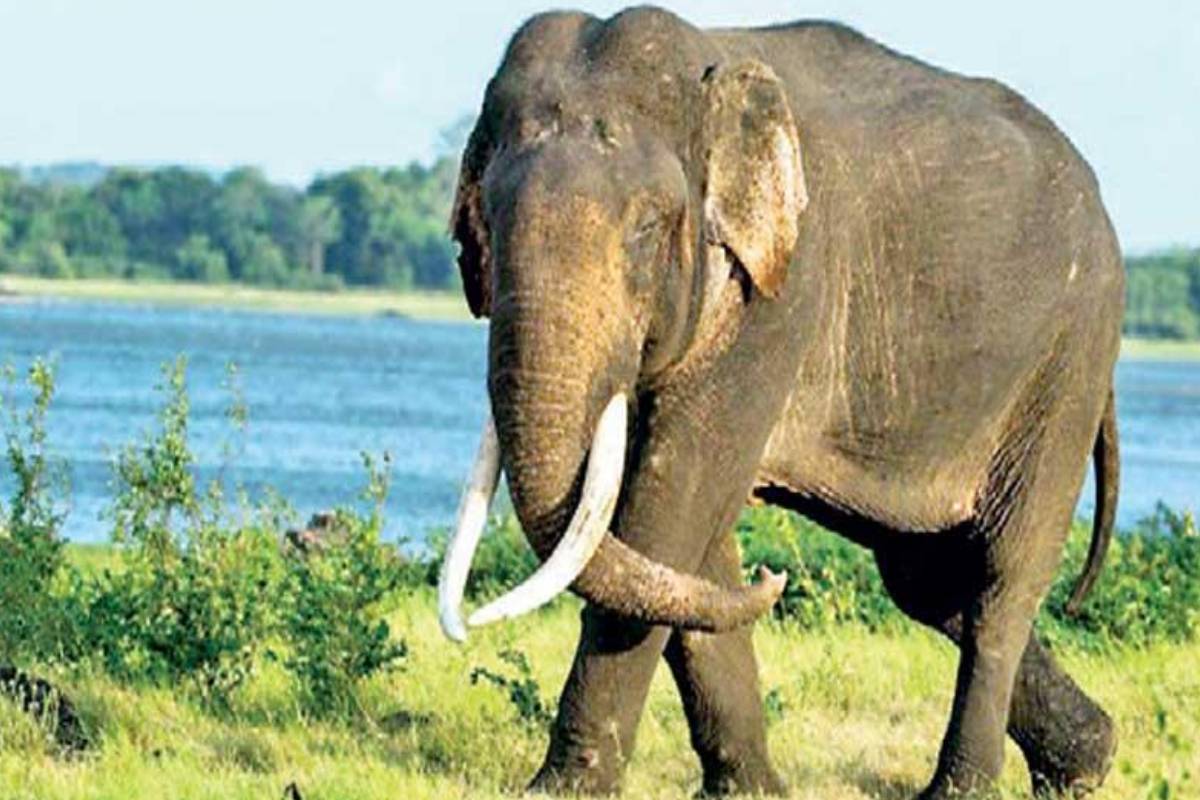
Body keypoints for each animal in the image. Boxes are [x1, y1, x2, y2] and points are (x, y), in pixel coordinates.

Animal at [436, 7, 1123, 799]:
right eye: (483, 223)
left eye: (646, 230)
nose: (775, 577)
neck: (711, 72)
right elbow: (687, 538)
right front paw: (753, 790)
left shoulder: (782, 291)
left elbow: (674, 502)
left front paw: (561, 790)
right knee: (926, 580)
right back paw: (1086, 763)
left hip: (1067, 363)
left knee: (1001, 580)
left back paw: (963, 789)